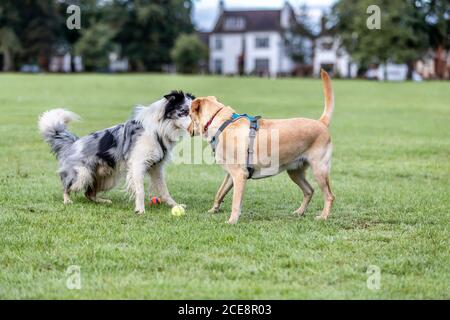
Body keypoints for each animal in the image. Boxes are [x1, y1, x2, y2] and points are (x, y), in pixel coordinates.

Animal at [189, 70, 334, 225]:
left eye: (189, 115)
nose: (187, 129)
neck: (223, 124)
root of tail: (321, 122)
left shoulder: (239, 175)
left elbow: (235, 202)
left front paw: (232, 220)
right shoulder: (230, 175)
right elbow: (220, 193)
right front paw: (213, 210)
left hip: (319, 170)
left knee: (329, 196)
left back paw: (323, 216)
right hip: (295, 171)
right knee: (309, 190)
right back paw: (299, 212)